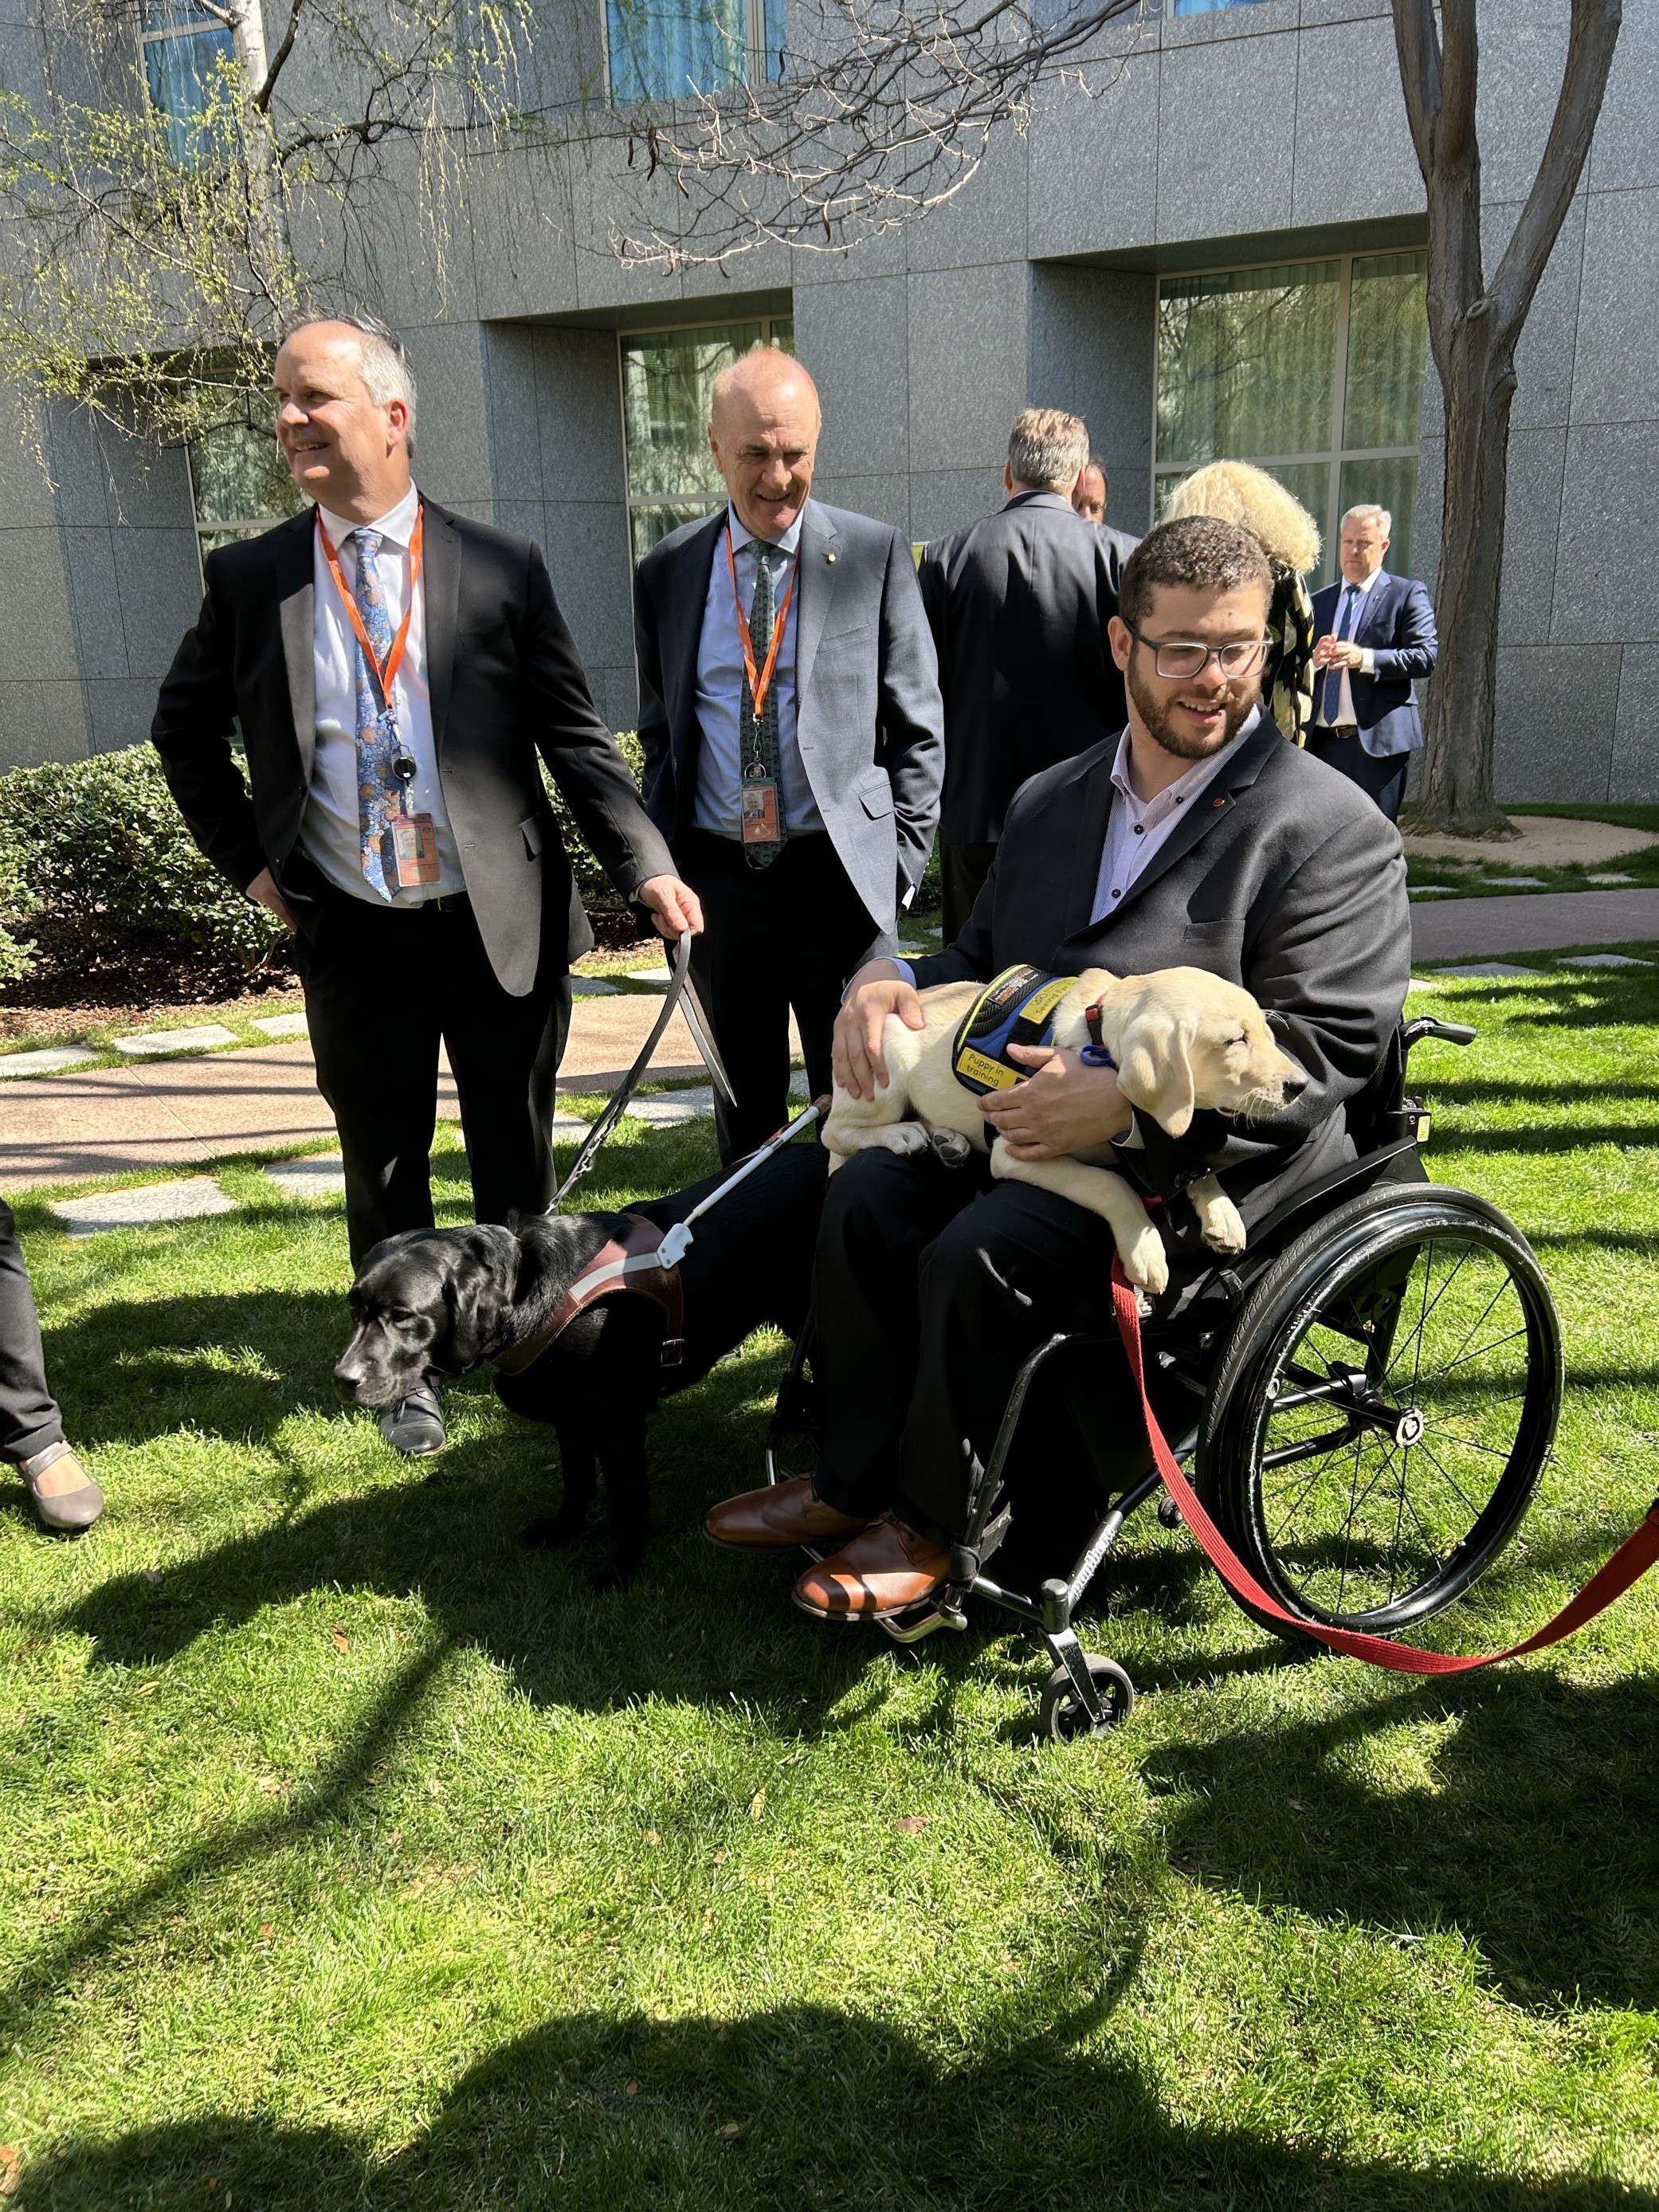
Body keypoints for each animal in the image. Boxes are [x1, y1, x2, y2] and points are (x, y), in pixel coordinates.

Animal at [338, 1141, 831, 1592]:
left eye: (403, 1316)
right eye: (354, 1309)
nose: (344, 1380)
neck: (532, 1287)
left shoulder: (618, 1422)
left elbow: (625, 1502)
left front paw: (619, 1571)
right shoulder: (570, 1416)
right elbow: (577, 1483)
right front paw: (563, 1533)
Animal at [827, 968, 1309, 1292]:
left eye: (1266, 1031)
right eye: (1235, 1041)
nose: (1301, 1086)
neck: (1098, 1044)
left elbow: (1183, 1163)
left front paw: (1220, 1209)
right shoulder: (1013, 1149)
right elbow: (1111, 1184)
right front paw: (1145, 1249)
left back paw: (949, 1142)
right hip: (883, 1075)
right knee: (835, 1132)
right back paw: (902, 1136)